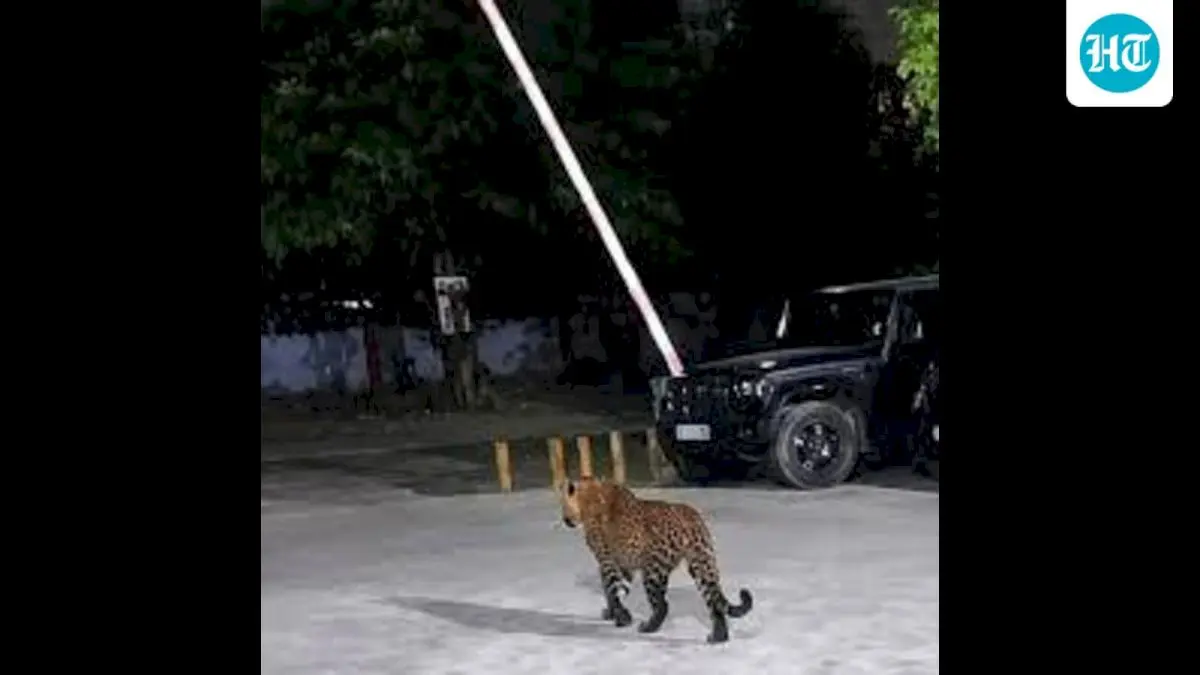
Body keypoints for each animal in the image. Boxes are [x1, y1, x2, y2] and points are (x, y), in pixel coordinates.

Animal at [559, 476, 754, 643]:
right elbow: (616, 591)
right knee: (714, 602)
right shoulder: (624, 565)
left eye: (563, 505)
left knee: (662, 604)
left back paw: (648, 627)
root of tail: (688, 517)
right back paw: (719, 637)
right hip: (700, 564)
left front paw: (620, 617)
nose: (565, 519)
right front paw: (615, 614)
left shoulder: (608, 562)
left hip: (653, 570)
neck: (589, 493)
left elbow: (612, 591)